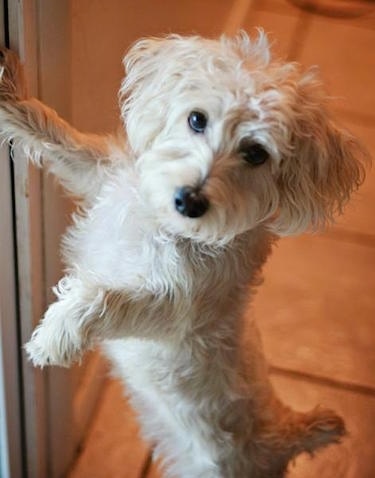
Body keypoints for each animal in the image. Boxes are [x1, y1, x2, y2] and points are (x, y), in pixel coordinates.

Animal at [0, 33, 368, 478]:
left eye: (256, 153)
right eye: (196, 119)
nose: (189, 201)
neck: (166, 228)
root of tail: (286, 437)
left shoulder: (174, 306)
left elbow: (101, 298)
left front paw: (53, 336)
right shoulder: (100, 176)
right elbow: (56, 135)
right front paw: (7, 89)